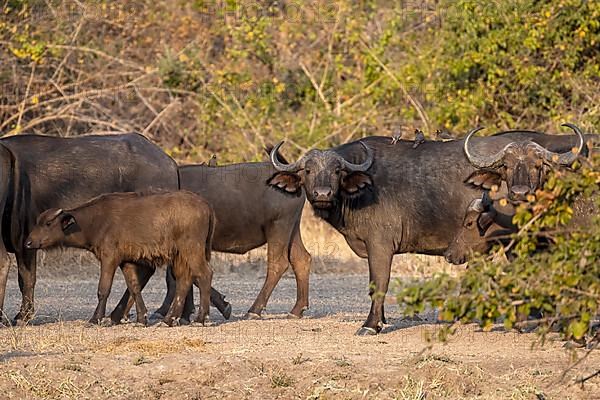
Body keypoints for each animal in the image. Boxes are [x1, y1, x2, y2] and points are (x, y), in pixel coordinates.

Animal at [24, 192, 214, 326]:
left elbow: (103, 289)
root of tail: (205, 205)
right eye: (37, 221)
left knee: (205, 274)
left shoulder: (109, 258)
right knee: (184, 280)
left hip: (192, 249)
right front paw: (142, 318)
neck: (96, 221)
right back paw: (169, 320)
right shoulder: (126, 262)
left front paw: (96, 319)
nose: (28, 243)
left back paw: (201, 318)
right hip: (179, 255)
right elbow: (134, 287)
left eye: (48, 223)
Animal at [268, 131, 592, 334]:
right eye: (308, 171)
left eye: (337, 171)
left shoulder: (380, 245)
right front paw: (381, 319)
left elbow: (379, 283)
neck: (362, 189)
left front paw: (371, 325)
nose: (322, 194)